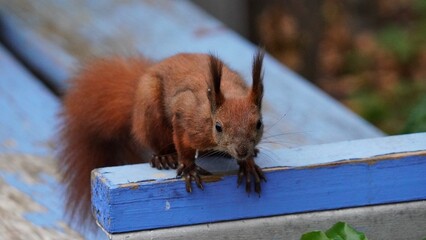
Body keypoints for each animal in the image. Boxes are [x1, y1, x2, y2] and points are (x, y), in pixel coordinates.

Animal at [59, 51, 266, 225]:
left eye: (259, 123)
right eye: (218, 127)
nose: (242, 151)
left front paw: (248, 165)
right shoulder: (186, 117)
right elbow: (183, 142)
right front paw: (189, 168)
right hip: (150, 113)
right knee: (159, 142)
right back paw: (164, 157)